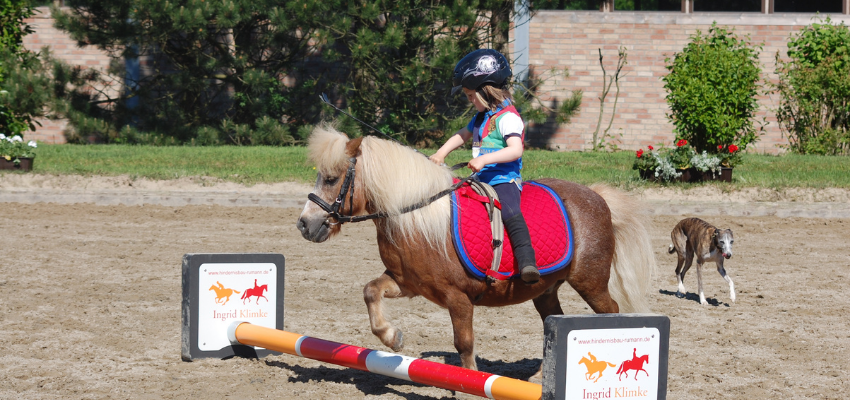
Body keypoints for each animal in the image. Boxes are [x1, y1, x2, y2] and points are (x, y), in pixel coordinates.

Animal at [298, 126, 656, 378]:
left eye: (331, 178)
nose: (304, 224)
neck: (418, 218)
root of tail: (597, 197)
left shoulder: (458, 297)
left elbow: (464, 343)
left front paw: (469, 381)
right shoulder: (407, 284)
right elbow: (370, 291)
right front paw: (392, 338)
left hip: (590, 282)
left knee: (611, 312)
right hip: (546, 290)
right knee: (551, 324)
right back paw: (540, 376)